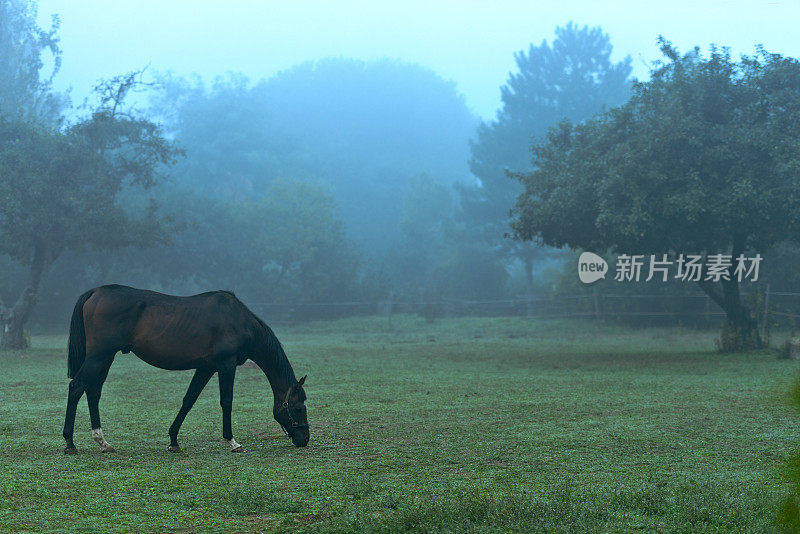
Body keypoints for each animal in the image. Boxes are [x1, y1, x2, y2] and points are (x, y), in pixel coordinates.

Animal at [59, 286, 308, 454]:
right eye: (298, 408)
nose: (304, 439)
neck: (239, 321)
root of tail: (95, 292)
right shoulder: (226, 366)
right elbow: (226, 401)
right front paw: (232, 441)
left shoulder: (206, 368)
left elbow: (189, 400)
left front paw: (173, 440)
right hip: (99, 356)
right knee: (77, 387)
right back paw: (70, 443)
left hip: (105, 358)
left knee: (93, 392)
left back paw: (103, 442)